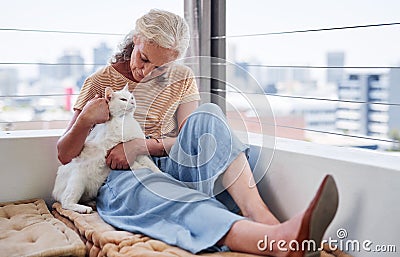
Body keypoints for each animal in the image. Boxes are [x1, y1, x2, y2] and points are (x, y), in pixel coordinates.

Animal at [52, 83, 161, 212]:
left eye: (132, 97)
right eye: (123, 99)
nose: (132, 102)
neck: (124, 121)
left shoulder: (137, 152)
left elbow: (152, 165)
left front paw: (161, 174)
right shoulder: (110, 152)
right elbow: (135, 164)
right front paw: (142, 168)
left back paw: (92, 203)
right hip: (77, 181)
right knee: (66, 202)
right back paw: (84, 209)